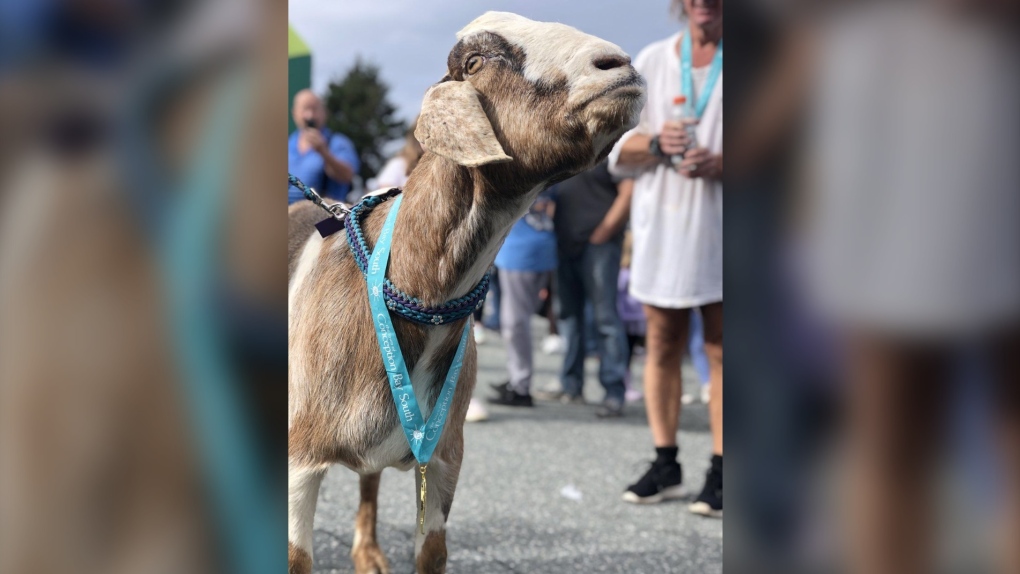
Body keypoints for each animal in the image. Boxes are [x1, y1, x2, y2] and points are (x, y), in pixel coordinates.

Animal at [285, 12, 644, 574]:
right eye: (474, 62)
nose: (618, 64)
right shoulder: (300, 460)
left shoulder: (445, 459)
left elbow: (432, 550)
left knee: (368, 480)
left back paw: (369, 554)